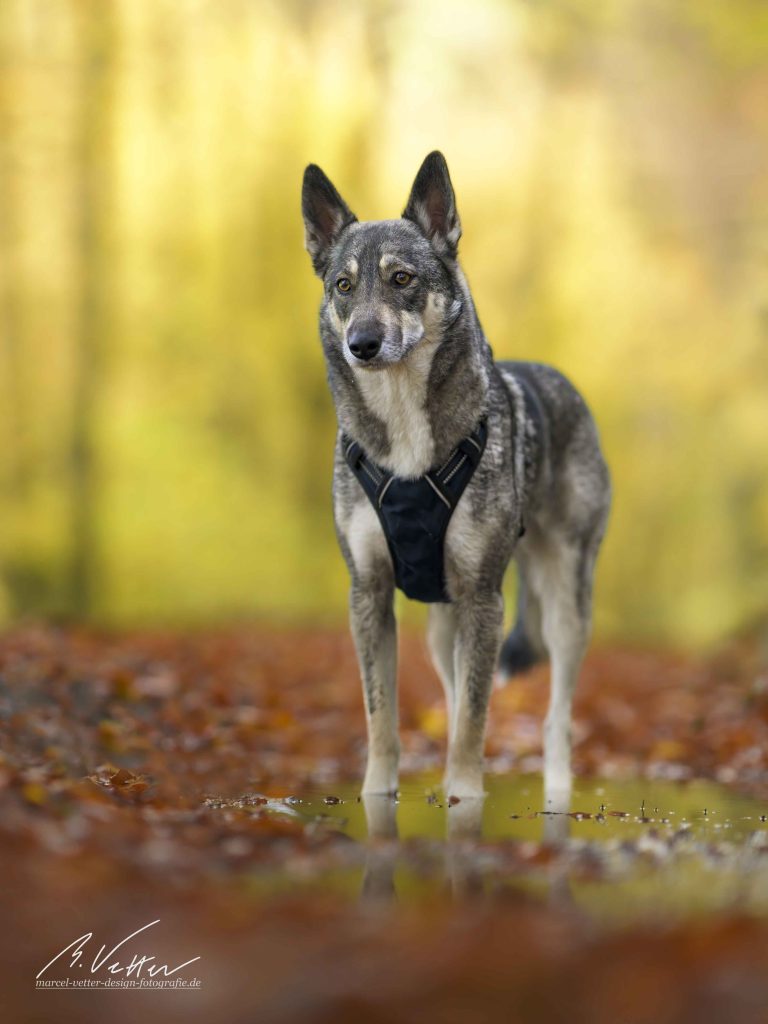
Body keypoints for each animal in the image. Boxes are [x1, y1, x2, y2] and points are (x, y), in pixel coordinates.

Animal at [303, 153, 610, 806]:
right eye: (343, 286)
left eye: (401, 279)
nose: (361, 344)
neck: (404, 436)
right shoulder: (369, 595)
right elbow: (383, 714)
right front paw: (378, 794)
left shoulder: (483, 600)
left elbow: (474, 716)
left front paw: (466, 795)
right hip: (442, 626)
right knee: (451, 695)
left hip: (564, 608)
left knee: (556, 716)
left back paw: (556, 789)